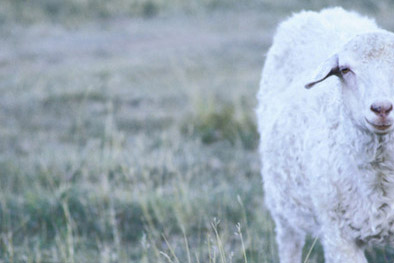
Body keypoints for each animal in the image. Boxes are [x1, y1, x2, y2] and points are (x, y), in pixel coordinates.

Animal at [258, 6, 394, 263]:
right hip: (281, 201)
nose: (382, 108)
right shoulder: (338, 235)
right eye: (345, 70)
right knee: (288, 241)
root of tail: (322, 12)